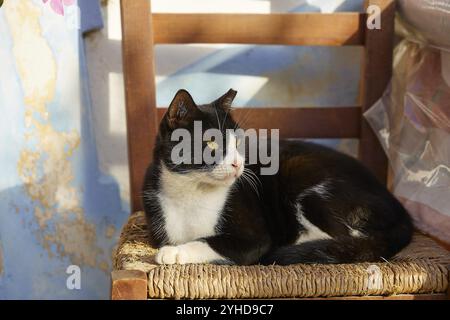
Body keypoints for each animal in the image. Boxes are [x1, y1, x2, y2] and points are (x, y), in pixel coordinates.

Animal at [142, 88, 414, 264]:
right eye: (211, 142)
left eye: (237, 142)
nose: (238, 164)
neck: (192, 191)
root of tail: (401, 210)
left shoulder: (255, 237)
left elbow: (211, 241)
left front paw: (174, 252)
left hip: (306, 180)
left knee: (349, 238)